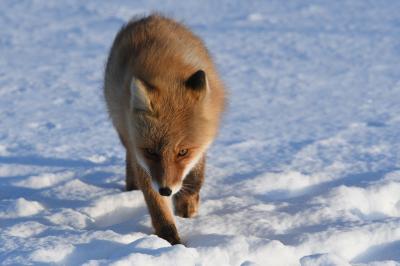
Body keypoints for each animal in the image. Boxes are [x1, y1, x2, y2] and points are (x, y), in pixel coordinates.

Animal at [104, 13, 225, 244]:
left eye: (183, 152)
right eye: (151, 152)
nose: (166, 190)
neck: (166, 71)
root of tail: (149, 17)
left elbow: (197, 173)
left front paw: (187, 203)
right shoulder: (142, 159)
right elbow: (158, 209)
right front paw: (172, 242)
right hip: (124, 129)